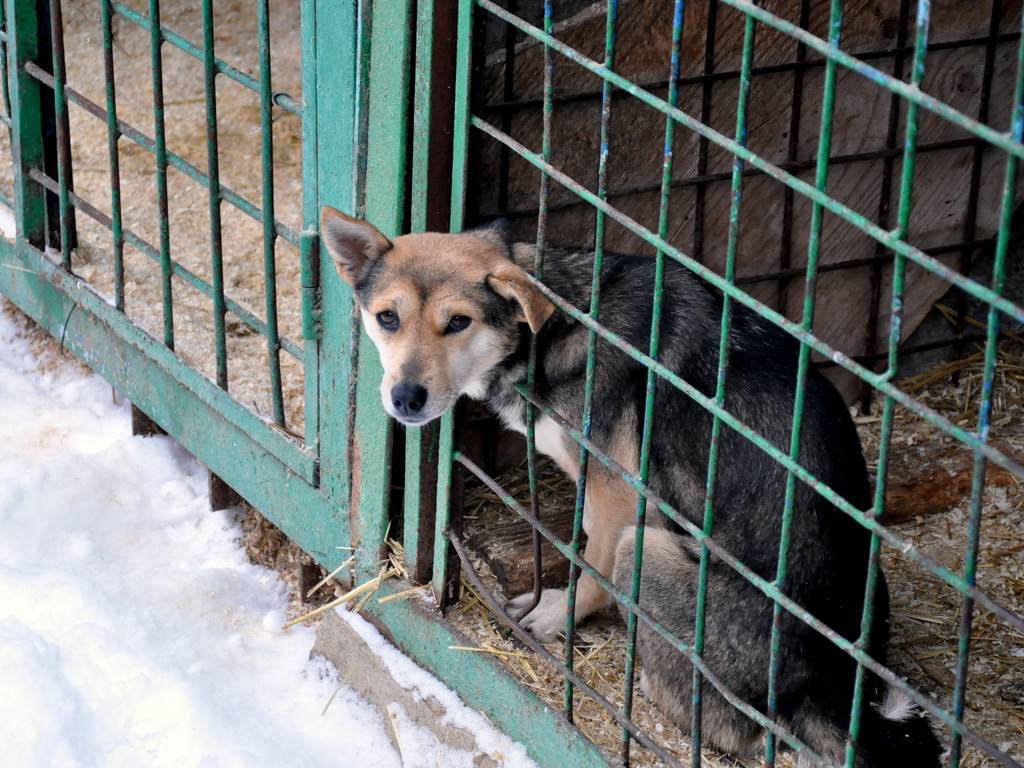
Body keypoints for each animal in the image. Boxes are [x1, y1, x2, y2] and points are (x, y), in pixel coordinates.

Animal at [321, 205, 942, 768]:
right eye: (387, 318)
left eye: (458, 322)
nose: (405, 399)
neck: (552, 329)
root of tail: (819, 688)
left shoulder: (620, 496)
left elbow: (589, 567)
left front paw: (557, 614)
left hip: (649, 549)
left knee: (737, 732)